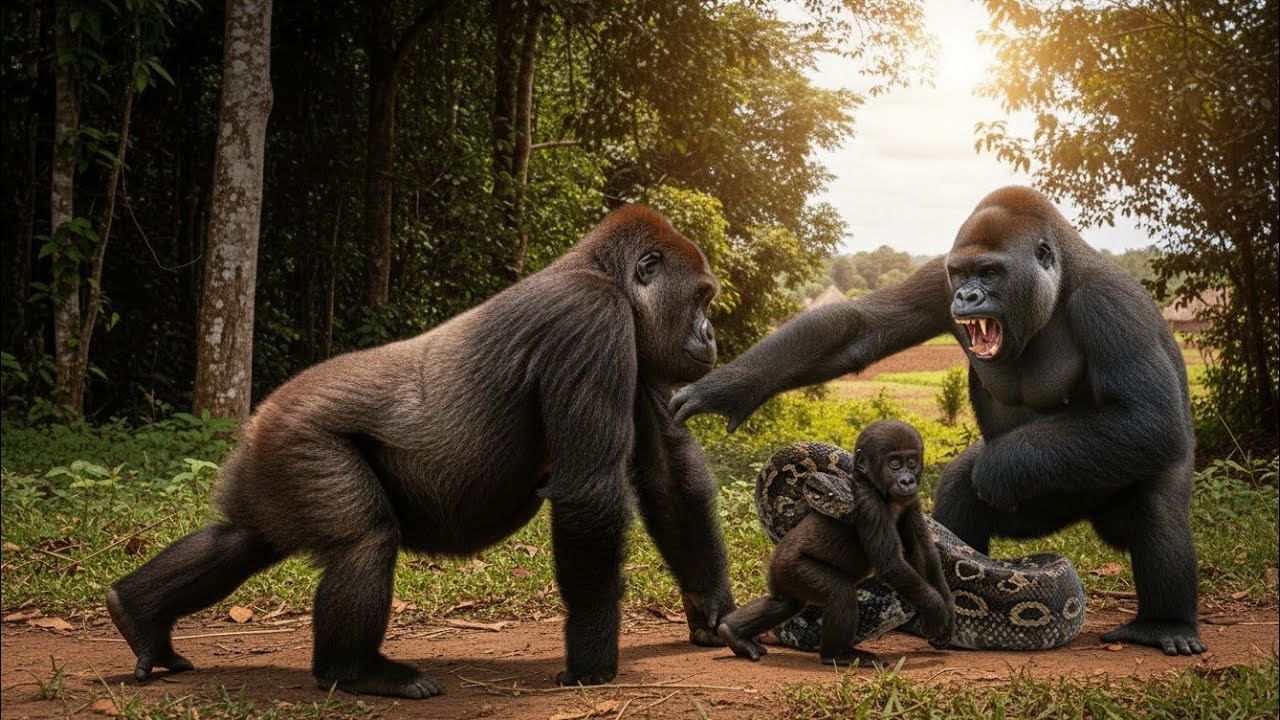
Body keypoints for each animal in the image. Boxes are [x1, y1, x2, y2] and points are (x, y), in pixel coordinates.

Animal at [107, 206, 737, 699]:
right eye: (701, 299)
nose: (710, 337)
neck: (603, 271)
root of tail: (259, 417)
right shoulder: (591, 320)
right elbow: (590, 493)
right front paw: (591, 661)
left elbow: (667, 476)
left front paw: (710, 606)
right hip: (301, 438)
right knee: (364, 540)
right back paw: (355, 672)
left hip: (271, 456)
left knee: (243, 538)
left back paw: (139, 616)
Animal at [716, 420, 954, 665]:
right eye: (894, 464)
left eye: (911, 462)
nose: (907, 480)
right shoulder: (870, 506)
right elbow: (890, 563)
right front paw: (937, 610)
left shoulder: (911, 502)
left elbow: (921, 549)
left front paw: (947, 611)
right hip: (793, 568)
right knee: (839, 593)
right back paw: (838, 655)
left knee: (784, 603)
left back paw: (733, 633)